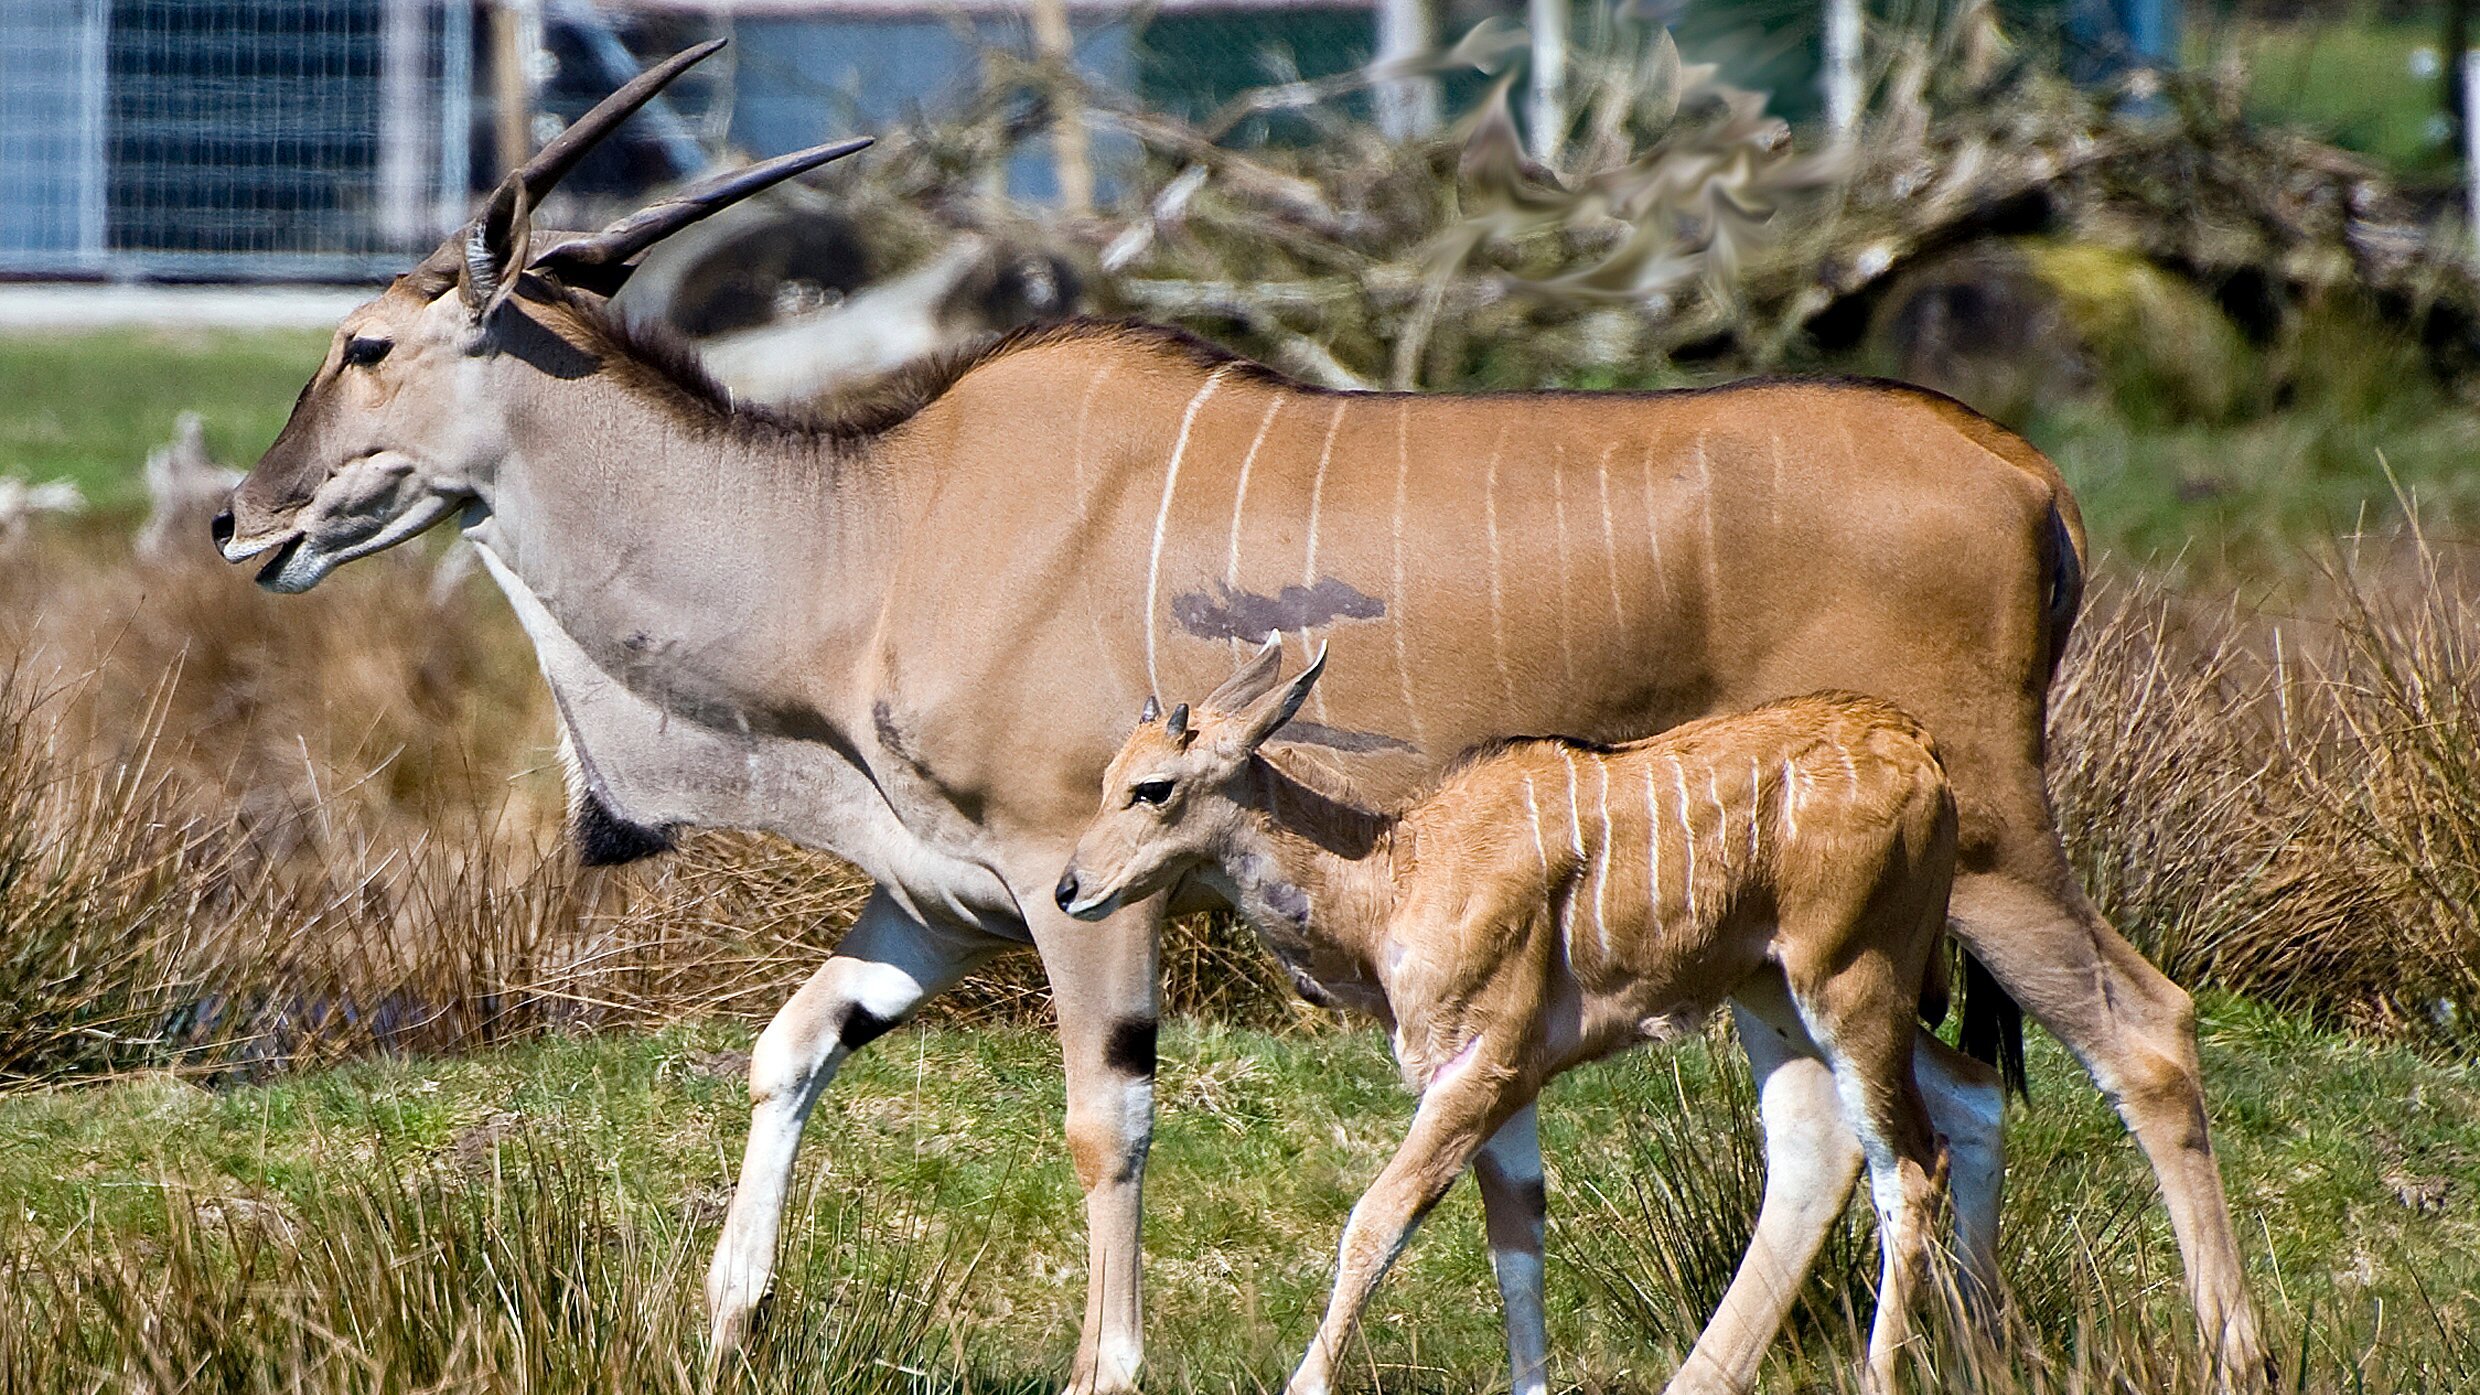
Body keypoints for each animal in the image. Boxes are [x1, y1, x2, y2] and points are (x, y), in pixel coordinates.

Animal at [1056, 640, 1964, 1390]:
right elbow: (1518, 1244)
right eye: (1104, 783)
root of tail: (1922, 751)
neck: (1398, 873)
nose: (1068, 889)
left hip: (1854, 983)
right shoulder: (1512, 1085)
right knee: (1824, 1151)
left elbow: (1377, 1218)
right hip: (1771, 994)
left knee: (1915, 1163)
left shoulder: (1480, 1064)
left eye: (1153, 788)